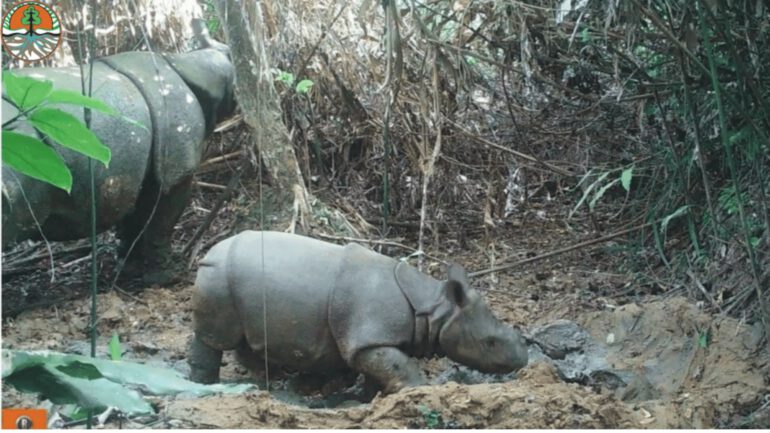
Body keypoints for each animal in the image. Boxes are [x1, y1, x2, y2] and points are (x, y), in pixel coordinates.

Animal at [1, 23, 235, 284]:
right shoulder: (176, 166)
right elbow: (163, 219)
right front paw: (168, 276)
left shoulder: (136, 169)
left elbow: (134, 219)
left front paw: (129, 269)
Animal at [189, 230, 529, 393]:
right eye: (490, 343)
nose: (522, 359)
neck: (434, 309)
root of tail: (209, 252)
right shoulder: (368, 338)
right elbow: (395, 364)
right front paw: (421, 389)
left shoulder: (370, 338)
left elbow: (383, 366)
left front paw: (366, 394)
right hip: (218, 277)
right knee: (214, 337)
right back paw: (205, 384)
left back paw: (274, 379)